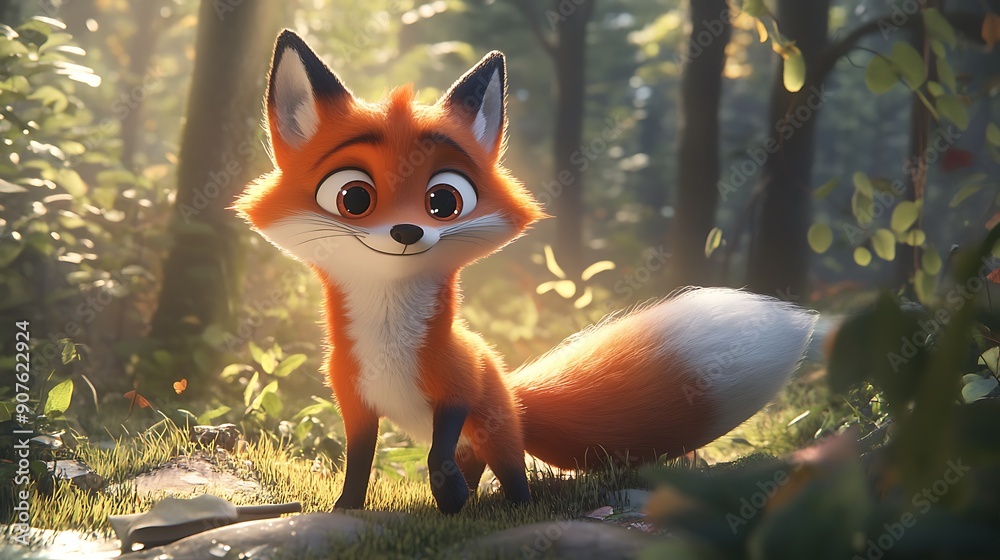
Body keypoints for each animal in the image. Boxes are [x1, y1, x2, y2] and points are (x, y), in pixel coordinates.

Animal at [235, 30, 818, 514]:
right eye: (354, 197)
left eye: (443, 200)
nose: (407, 232)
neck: (388, 344)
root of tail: (514, 388)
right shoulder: (354, 401)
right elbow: (358, 463)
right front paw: (346, 510)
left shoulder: (457, 387)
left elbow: (438, 450)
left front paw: (449, 498)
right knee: (474, 466)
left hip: (496, 430)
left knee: (511, 471)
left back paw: (509, 506)